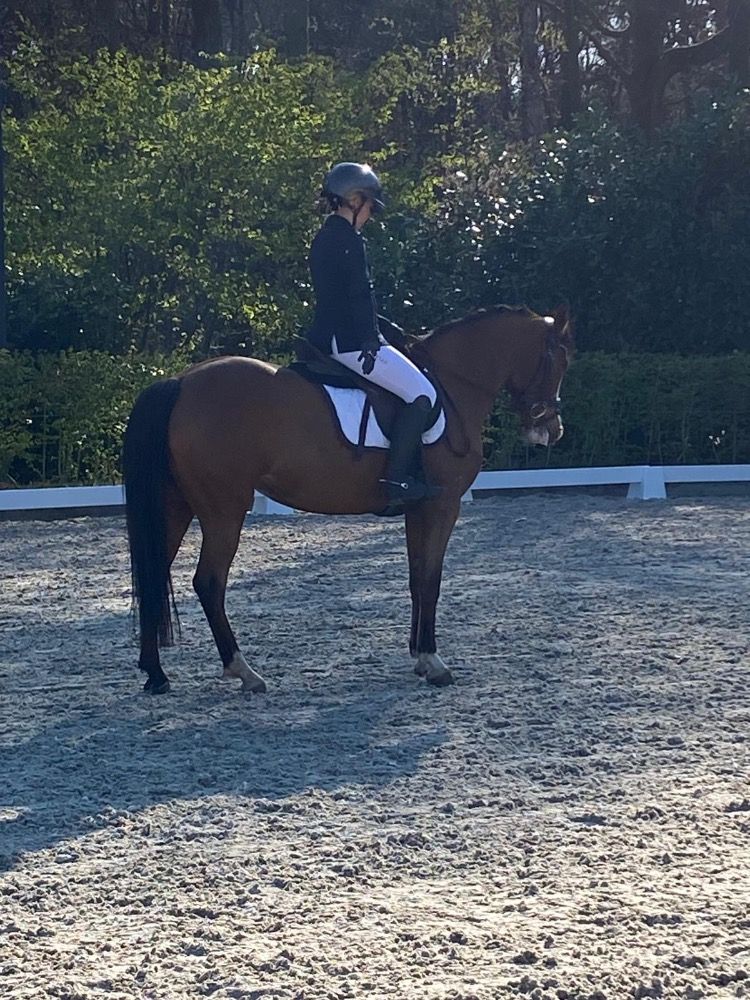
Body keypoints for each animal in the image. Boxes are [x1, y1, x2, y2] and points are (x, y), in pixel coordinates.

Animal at [123, 304, 573, 694]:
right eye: (558, 361)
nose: (551, 430)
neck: (453, 384)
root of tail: (181, 382)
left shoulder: (417, 509)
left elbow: (416, 578)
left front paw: (419, 657)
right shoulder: (443, 506)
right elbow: (431, 579)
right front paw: (434, 661)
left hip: (175, 506)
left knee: (154, 573)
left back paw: (156, 674)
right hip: (224, 510)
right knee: (208, 582)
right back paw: (244, 671)